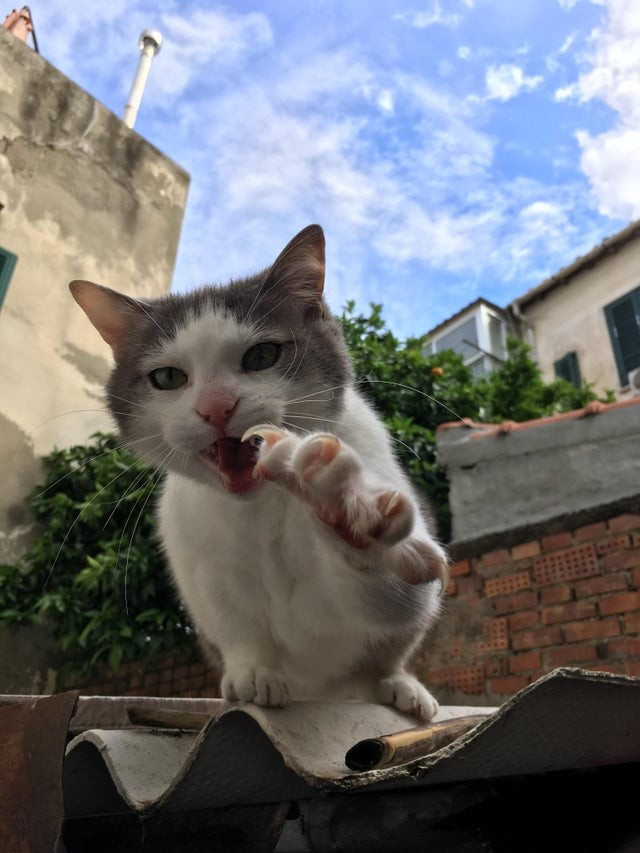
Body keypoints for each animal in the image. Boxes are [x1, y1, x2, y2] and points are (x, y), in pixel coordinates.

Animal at [70, 223, 448, 716]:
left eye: (262, 356)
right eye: (167, 378)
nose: (216, 407)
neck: (260, 505)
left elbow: (395, 598)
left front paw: (350, 512)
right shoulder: (201, 569)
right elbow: (234, 624)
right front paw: (253, 672)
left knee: (382, 660)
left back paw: (398, 685)